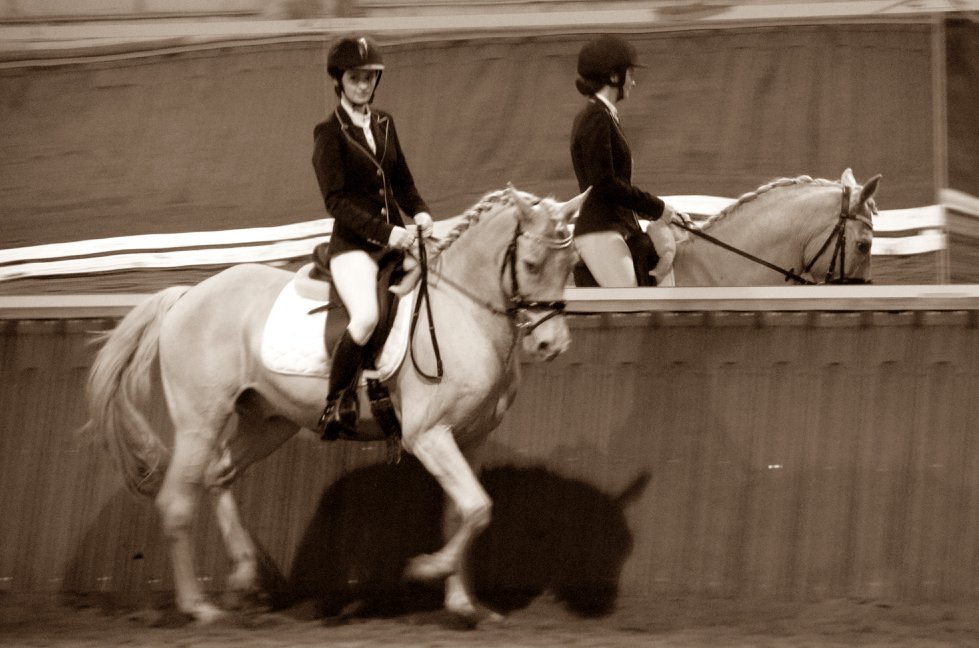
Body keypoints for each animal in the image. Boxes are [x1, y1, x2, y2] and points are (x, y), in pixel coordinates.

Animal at [82, 185, 589, 626]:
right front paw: (427, 569)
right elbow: (476, 508)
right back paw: (199, 608)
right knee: (177, 502)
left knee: (219, 474)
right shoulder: (428, 436)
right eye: (531, 262)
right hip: (199, 423)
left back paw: (245, 578)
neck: (463, 311)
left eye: (573, 262)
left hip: (268, 421)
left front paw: (466, 605)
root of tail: (188, 295)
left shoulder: (471, 438)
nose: (550, 345)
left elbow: (465, 512)